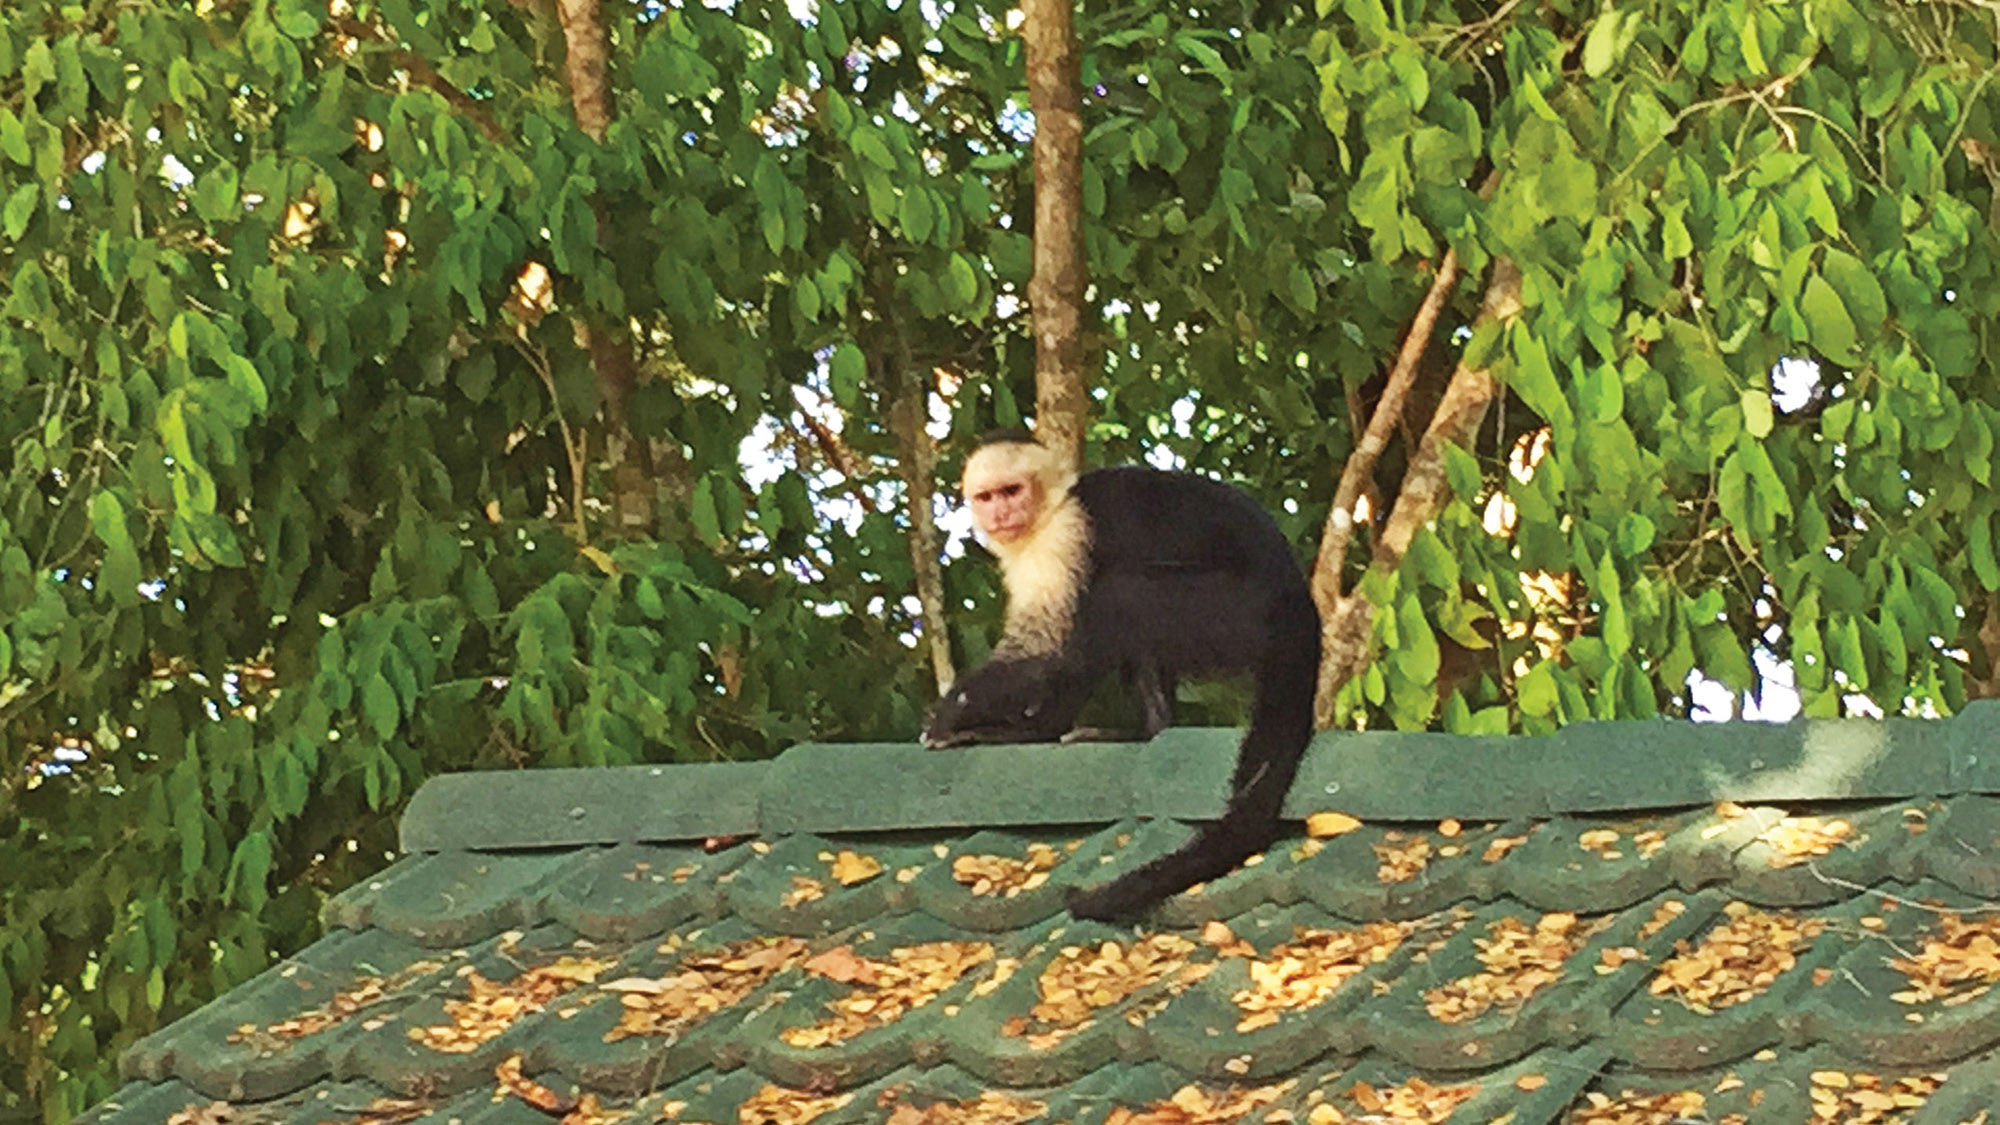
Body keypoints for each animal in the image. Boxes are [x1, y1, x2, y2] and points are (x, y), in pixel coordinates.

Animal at [923, 430, 1321, 922]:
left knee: (1117, 592)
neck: (1051, 508)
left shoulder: (1061, 538)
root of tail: (1299, 603)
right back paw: (1148, 729)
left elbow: (1046, 647)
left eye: (1012, 491)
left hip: (1239, 613)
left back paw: (1040, 728)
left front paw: (953, 712)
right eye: (987, 496)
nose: (1001, 513)